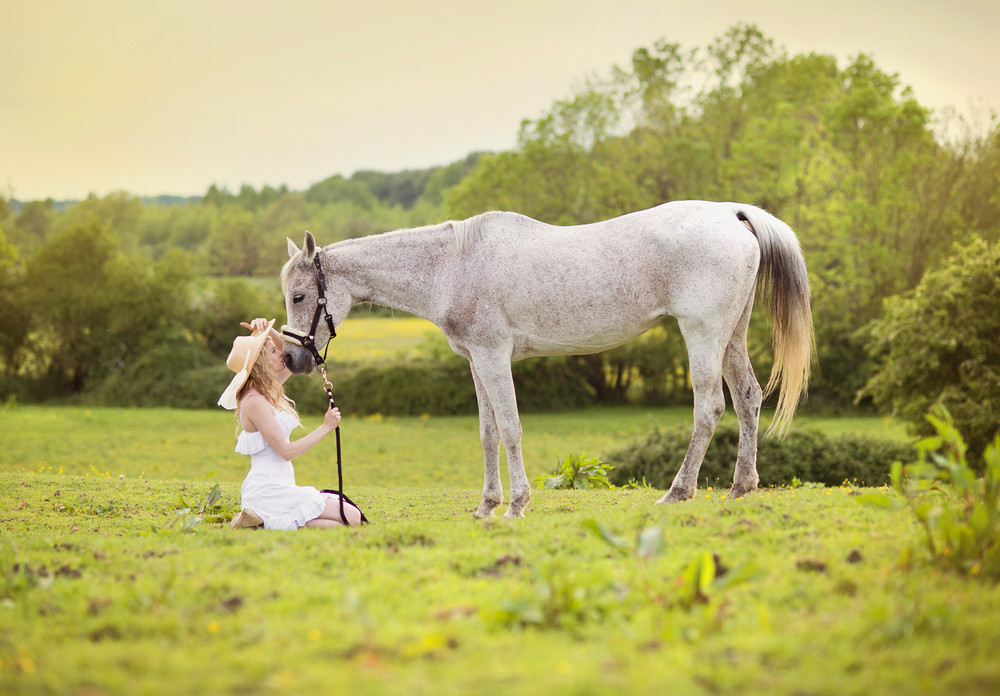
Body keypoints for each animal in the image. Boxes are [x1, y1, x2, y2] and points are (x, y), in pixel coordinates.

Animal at [282, 200, 812, 516]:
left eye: (299, 295)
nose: (291, 359)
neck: (455, 266)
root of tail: (730, 213)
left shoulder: (494, 356)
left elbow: (511, 427)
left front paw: (516, 504)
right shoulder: (476, 361)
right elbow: (488, 432)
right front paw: (486, 505)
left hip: (702, 334)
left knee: (710, 408)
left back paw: (678, 492)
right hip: (732, 336)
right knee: (747, 398)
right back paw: (741, 487)